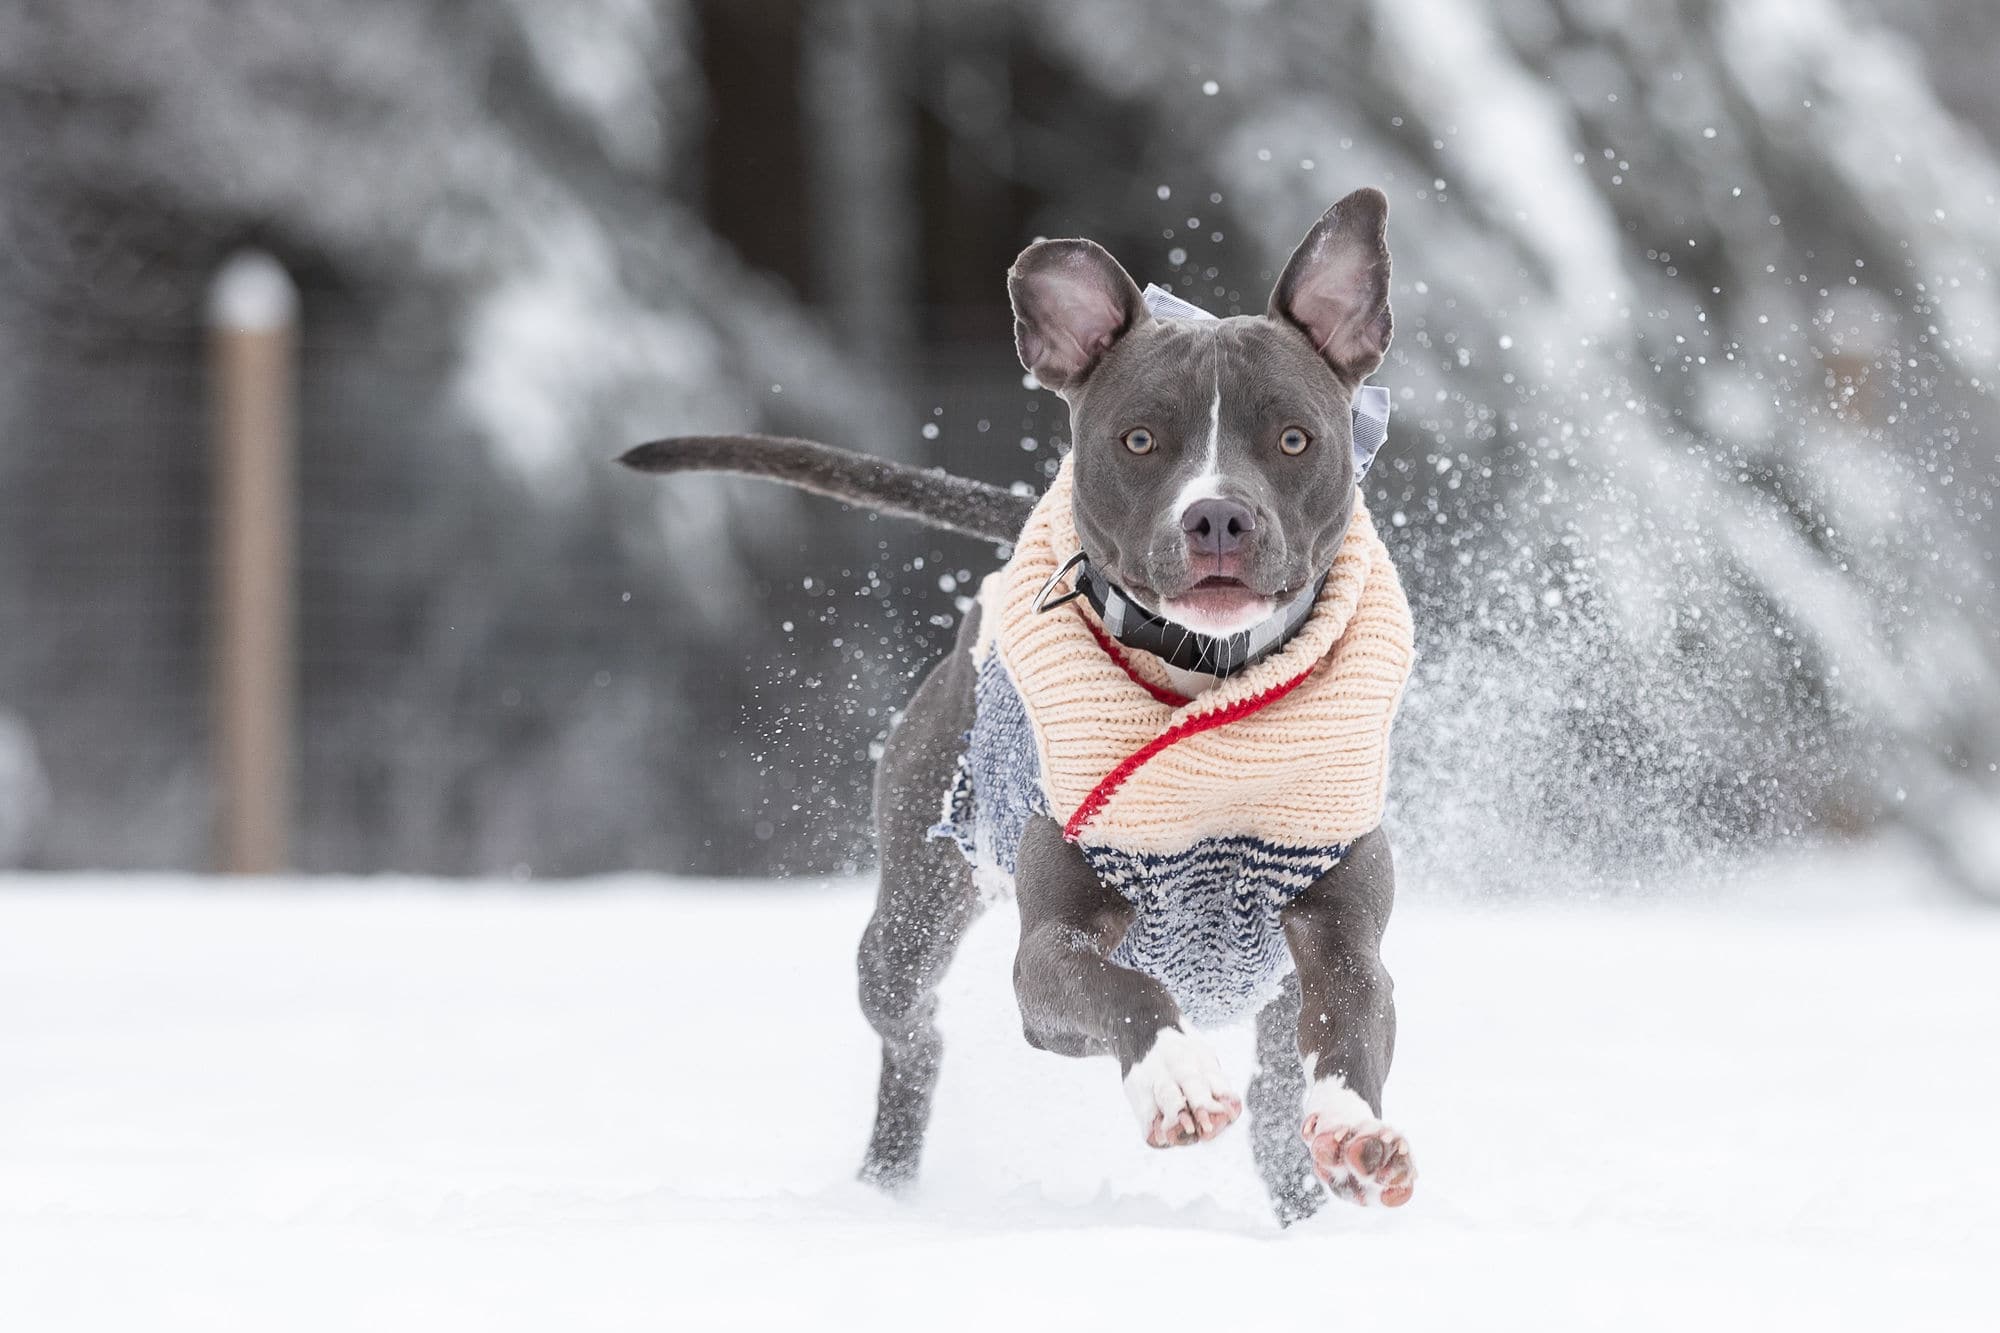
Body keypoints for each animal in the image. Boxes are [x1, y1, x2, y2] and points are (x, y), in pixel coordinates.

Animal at [624, 189, 1424, 1224]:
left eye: (1295, 438)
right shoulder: (1048, 952)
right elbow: (1123, 989)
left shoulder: (1339, 934)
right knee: (912, 1032)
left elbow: (1356, 1017)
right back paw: (885, 1188)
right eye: (1138, 439)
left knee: (1279, 1097)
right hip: (910, 913)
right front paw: (1172, 1076)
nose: (1218, 516)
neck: (1208, 680)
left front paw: (1356, 1128)